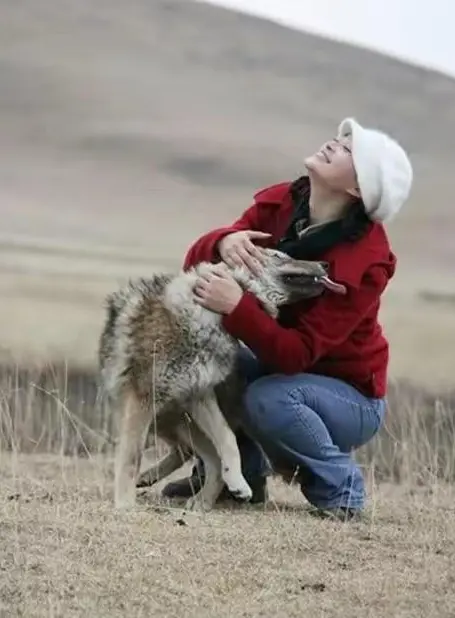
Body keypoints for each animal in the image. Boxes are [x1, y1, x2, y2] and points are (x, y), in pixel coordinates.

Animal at [98, 245, 348, 510]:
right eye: (279, 256)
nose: (325, 264)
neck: (208, 318)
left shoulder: (198, 395)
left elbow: (227, 439)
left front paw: (238, 484)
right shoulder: (143, 399)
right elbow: (131, 457)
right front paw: (125, 506)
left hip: (176, 420)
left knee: (202, 457)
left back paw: (200, 501)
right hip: (164, 419)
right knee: (190, 453)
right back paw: (165, 485)